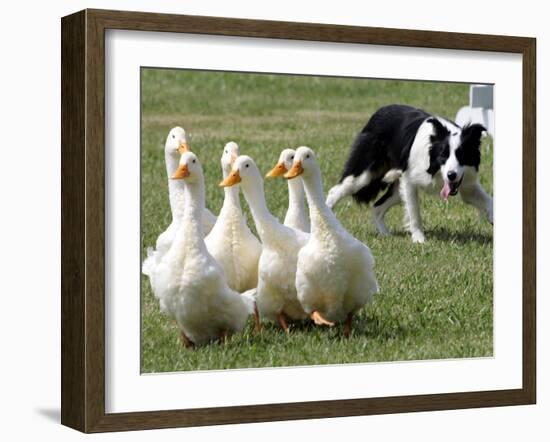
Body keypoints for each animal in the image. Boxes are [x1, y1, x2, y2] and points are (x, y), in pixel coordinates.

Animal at [328, 104, 496, 243]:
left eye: (462, 156)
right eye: (443, 155)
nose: (451, 175)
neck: (434, 168)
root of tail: (378, 112)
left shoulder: (467, 184)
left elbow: (488, 201)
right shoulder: (409, 181)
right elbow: (414, 213)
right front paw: (419, 240)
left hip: (396, 190)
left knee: (377, 207)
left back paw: (385, 234)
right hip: (364, 175)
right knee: (335, 191)